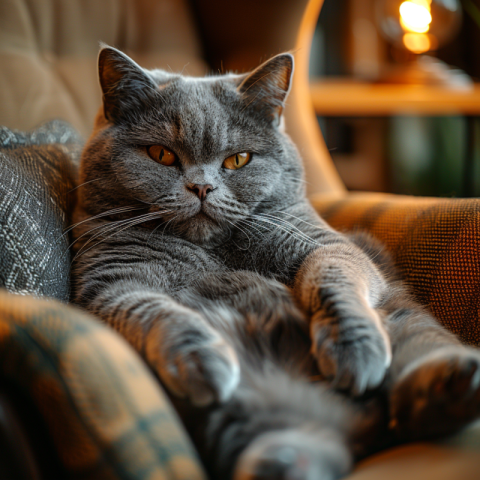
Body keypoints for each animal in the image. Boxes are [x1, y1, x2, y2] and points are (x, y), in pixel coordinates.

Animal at [71, 47, 480, 480]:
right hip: (238, 416)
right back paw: (282, 460)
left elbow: (331, 279)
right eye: (161, 154)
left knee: (411, 378)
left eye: (238, 160)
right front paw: (205, 362)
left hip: (405, 319)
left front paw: (353, 351)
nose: (202, 188)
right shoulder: (112, 285)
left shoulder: (327, 245)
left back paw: (458, 382)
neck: (214, 251)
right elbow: (159, 312)